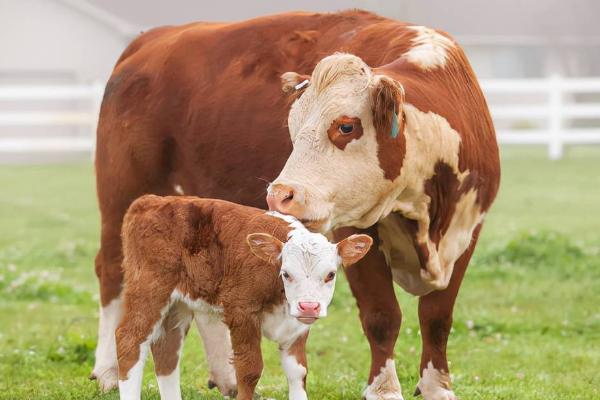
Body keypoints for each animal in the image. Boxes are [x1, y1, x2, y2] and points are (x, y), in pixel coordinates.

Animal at [115, 195, 372, 400]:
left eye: (330, 274)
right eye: (286, 273)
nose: (309, 306)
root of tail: (151, 200)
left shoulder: (296, 326)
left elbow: (298, 371)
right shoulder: (241, 312)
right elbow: (249, 370)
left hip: (178, 304)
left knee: (166, 349)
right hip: (149, 290)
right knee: (129, 340)